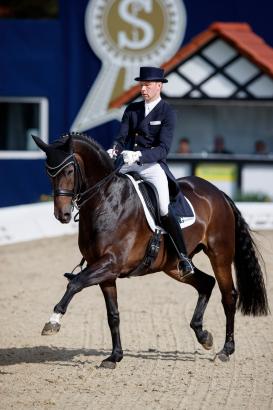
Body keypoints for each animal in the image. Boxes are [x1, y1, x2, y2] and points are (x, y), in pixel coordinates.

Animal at [32, 134, 268, 368]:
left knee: (228, 295)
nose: (62, 215)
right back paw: (203, 336)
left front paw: (52, 322)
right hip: (173, 266)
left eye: (69, 171)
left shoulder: (111, 263)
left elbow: (75, 283)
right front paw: (115, 357)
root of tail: (218, 193)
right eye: (48, 172)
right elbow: (113, 314)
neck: (106, 201)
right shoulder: (105, 271)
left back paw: (226, 350)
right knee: (206, 283)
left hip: (219, 254)